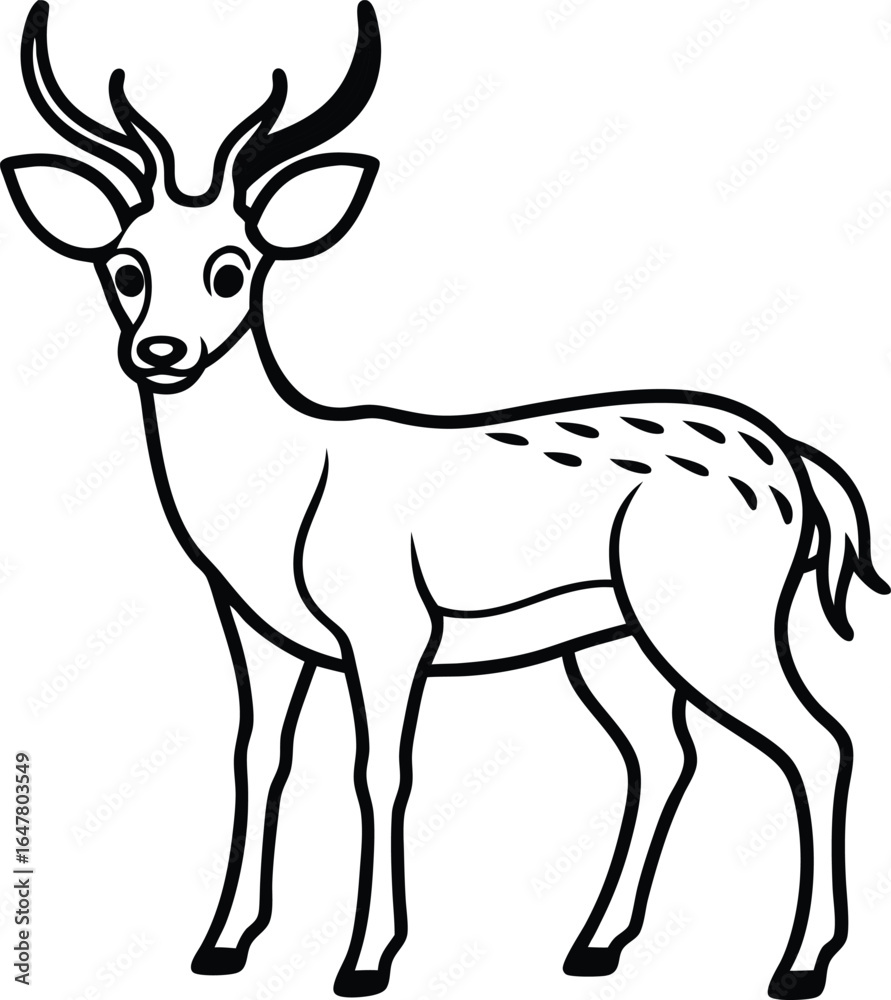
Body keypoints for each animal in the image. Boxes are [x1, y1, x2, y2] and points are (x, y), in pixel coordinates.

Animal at [3, 3, 887, 997]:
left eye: (234, 268)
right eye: (124, 266)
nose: (161, 351)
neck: (281, 494)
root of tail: (795, 466)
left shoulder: (391, 626)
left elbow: (380, 772)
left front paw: (365, 960)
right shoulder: (258, 632)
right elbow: (257, 761)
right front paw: (222, 945)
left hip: (714, 615)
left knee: (819, 740)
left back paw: (798, 964)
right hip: (613, 639)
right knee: (667, 755)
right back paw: (595, 945)